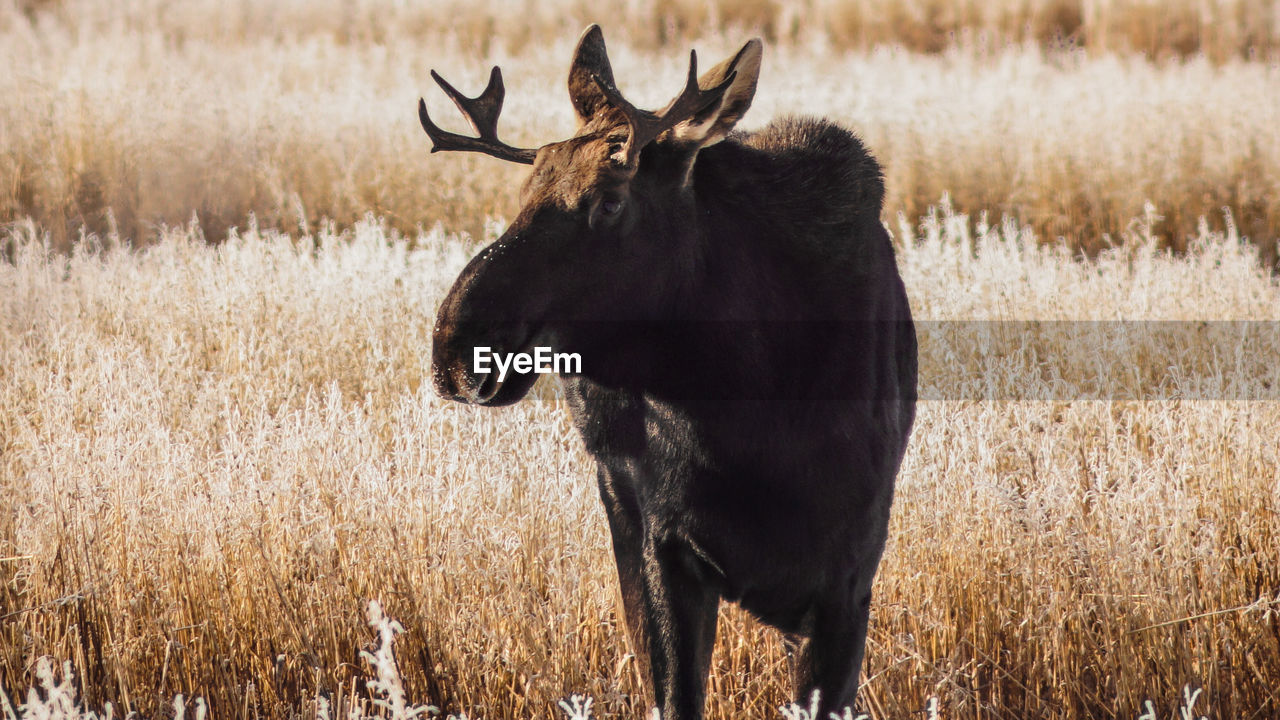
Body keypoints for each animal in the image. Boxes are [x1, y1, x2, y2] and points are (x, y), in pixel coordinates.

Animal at [424, 25, 916, 712]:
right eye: (524, 195)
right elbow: (675, 695)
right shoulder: (664, 548)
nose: (456, 347)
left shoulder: (849, 576)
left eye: (609, 202)